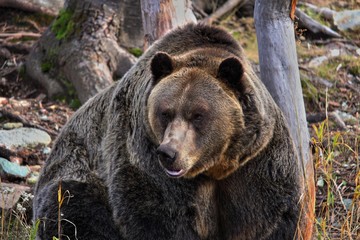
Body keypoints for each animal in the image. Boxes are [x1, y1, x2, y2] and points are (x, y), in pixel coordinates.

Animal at [33, 23, 300, 240]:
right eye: (165, 112)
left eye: (198, 115)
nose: (169, 152)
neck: (214, 167)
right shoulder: (142, 150)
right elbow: (160, 214)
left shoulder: (257, 162)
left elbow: (266, 219)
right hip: (77, 165)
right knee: (72, 207)